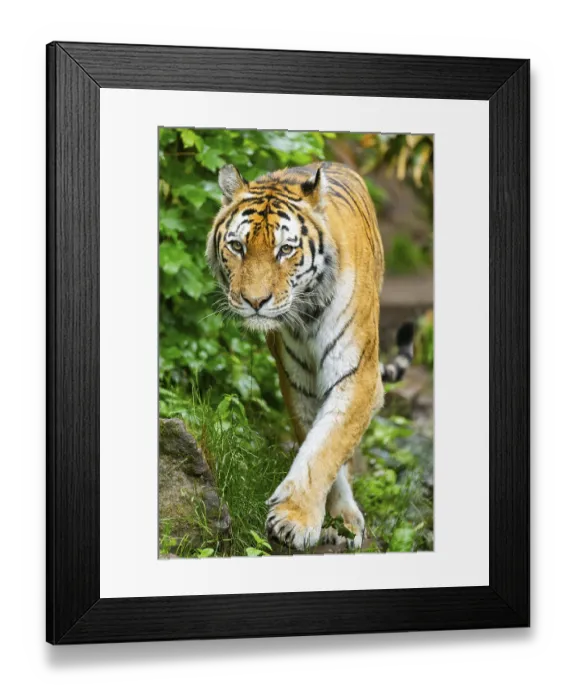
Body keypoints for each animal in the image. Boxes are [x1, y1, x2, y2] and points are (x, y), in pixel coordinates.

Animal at [206, 161, 414, 551]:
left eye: (286, 250)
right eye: (237, 246)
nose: (255, 301)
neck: (306, 314)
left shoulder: (358, 377)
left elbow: (326, 448)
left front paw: (294, 520)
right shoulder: (298, 382)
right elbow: (315, 441)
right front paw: (327, 517)